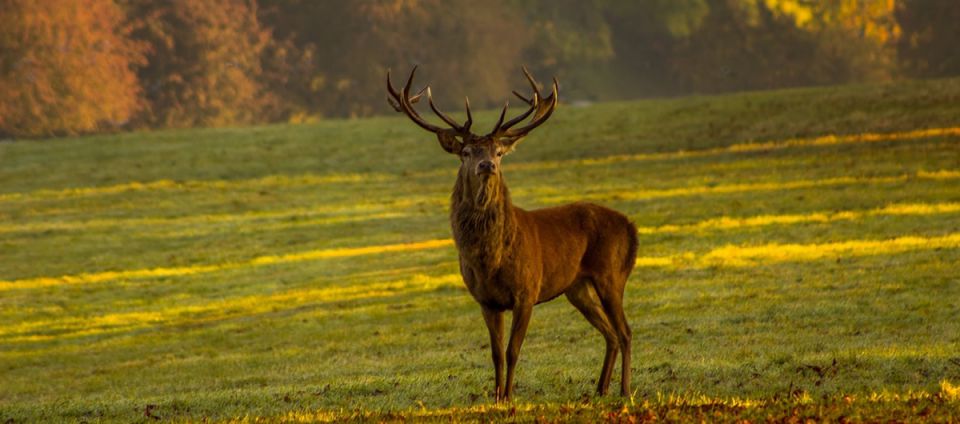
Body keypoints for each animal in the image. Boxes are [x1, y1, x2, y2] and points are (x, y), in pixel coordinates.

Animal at [386, 66, 640, 400]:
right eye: (466, 151)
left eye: (498, 152)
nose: (486, 165)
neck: (490, 260)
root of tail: (631, 227)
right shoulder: (486, 300)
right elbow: (495, 353)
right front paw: (496, 396)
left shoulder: (527, 291)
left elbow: (512, 350)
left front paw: (508, 396)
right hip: (577, 287)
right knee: (610, 332)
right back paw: (600, 388)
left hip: (611, 274)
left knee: (625, 330)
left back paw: (624, 389)